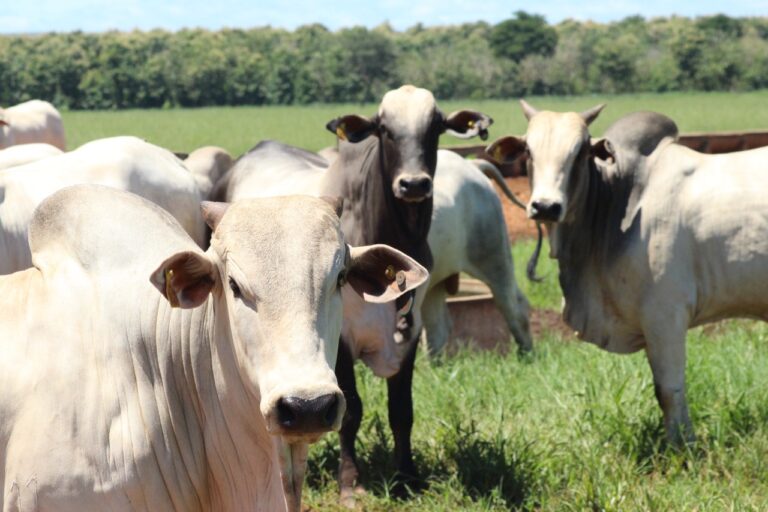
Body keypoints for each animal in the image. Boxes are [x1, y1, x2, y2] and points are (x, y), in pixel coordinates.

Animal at [486, 105, 768, 444]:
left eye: (580, 152)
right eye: (528, 150)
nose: (545, 207)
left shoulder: (665, 315)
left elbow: (668, 390)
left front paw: (682, 445)